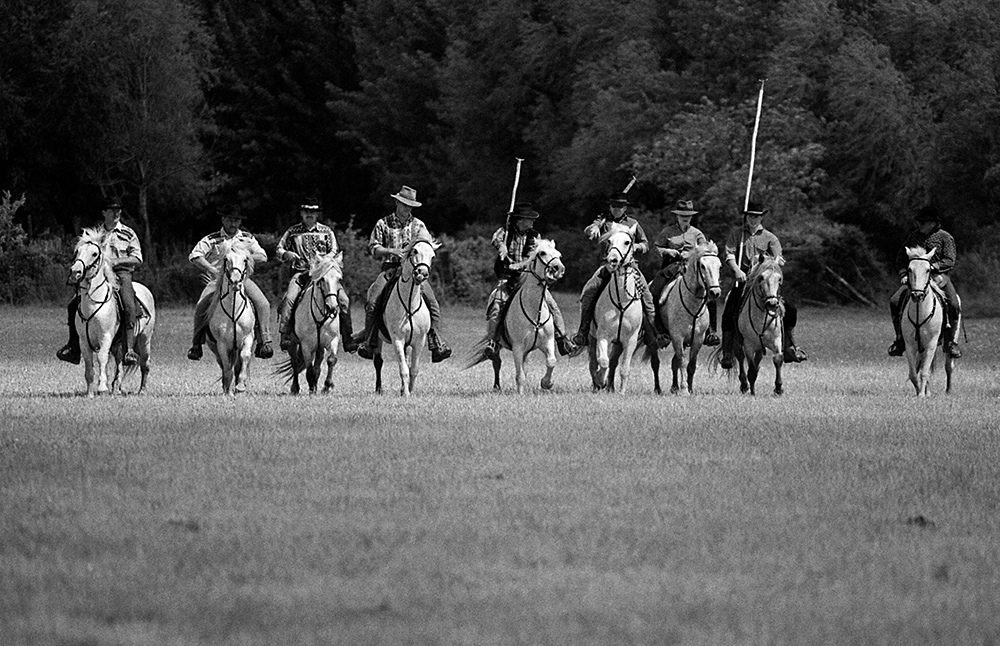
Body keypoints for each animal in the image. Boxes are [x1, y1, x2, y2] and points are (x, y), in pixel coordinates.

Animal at [204, 242, 256, 394]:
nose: (235, 282)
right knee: (223, 364)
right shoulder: (222, 344)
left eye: (245, 259)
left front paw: (240, 385)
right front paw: (228, 391)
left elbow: (245, 356)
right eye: (226, 259)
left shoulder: (247, 337)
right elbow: (227, 367)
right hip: (215, 347)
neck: (233, 310)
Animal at [284, 253, 342, 394]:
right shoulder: (306, 345)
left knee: (317, 365)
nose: (332, 307)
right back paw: (295, 388)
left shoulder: (333, 339)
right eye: (322, 279)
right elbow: (308, 367)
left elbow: (331, 360)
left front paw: (327, 386)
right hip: (292, 343)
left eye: (339, 279)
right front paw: (311, 388)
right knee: (295, 362)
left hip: (319, 347)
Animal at [374, 233, 440, 394]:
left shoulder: (419, 340)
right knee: (378, 361)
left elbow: (413, 369)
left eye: (432, 256)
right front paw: (406, 394)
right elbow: (403, 369)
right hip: (378, 339)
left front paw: (409, 390)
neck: (409, 302)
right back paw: (379, 389)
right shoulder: (397, 339)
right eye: (414, 251)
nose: (422, 273)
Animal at [588, 223, 644, 394]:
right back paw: (598, 385)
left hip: (619, 344)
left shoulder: (630, 340)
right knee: (594, 362)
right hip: (591, 337)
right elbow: (603, 361)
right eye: (610, 241)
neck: (622, 302)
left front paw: (622, 392)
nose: (612, 259)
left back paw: (611, 387)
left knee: (613, 362)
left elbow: (624, 368)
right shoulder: (602, 335)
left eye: (627, 242)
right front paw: (601, 380)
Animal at [904, 248, 956, 398]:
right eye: (909, 269)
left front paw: (921, 395)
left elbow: (924, 372)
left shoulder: (931, 344)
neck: (920, 312)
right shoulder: (910, 345)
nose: (917, 295)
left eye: (928, 270)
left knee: (949, 366)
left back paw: (948, 390)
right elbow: (913, 373)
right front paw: (920, 392)